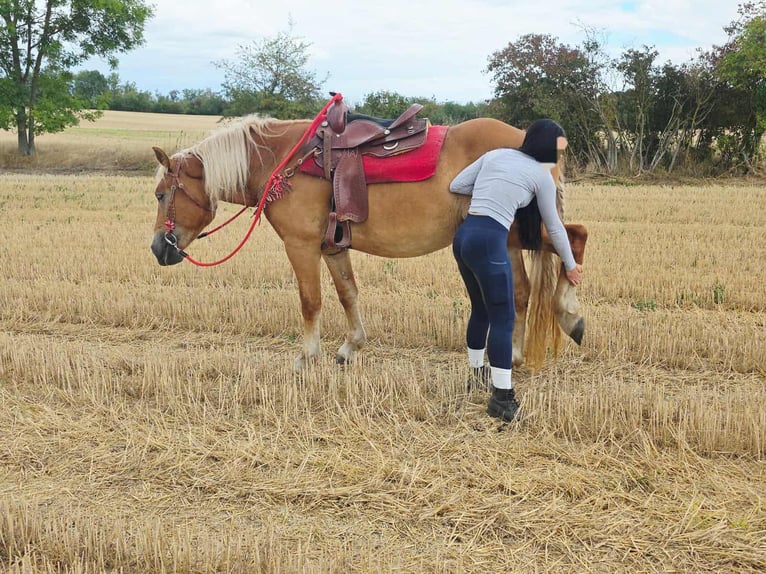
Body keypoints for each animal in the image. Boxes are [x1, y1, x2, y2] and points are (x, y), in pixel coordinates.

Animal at [150, 108, 588, 371]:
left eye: (160, 194)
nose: (158, 248)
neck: (283, 159)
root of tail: (531, 142)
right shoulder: (332, 247)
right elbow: (348, 294)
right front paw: (350, 347)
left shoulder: (300, 245)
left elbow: (311, 301)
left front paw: (306, 357)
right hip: (511, 237)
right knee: (532, 281)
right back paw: (527, 344)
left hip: (517, 230)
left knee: (570, 244)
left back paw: (558, 322)